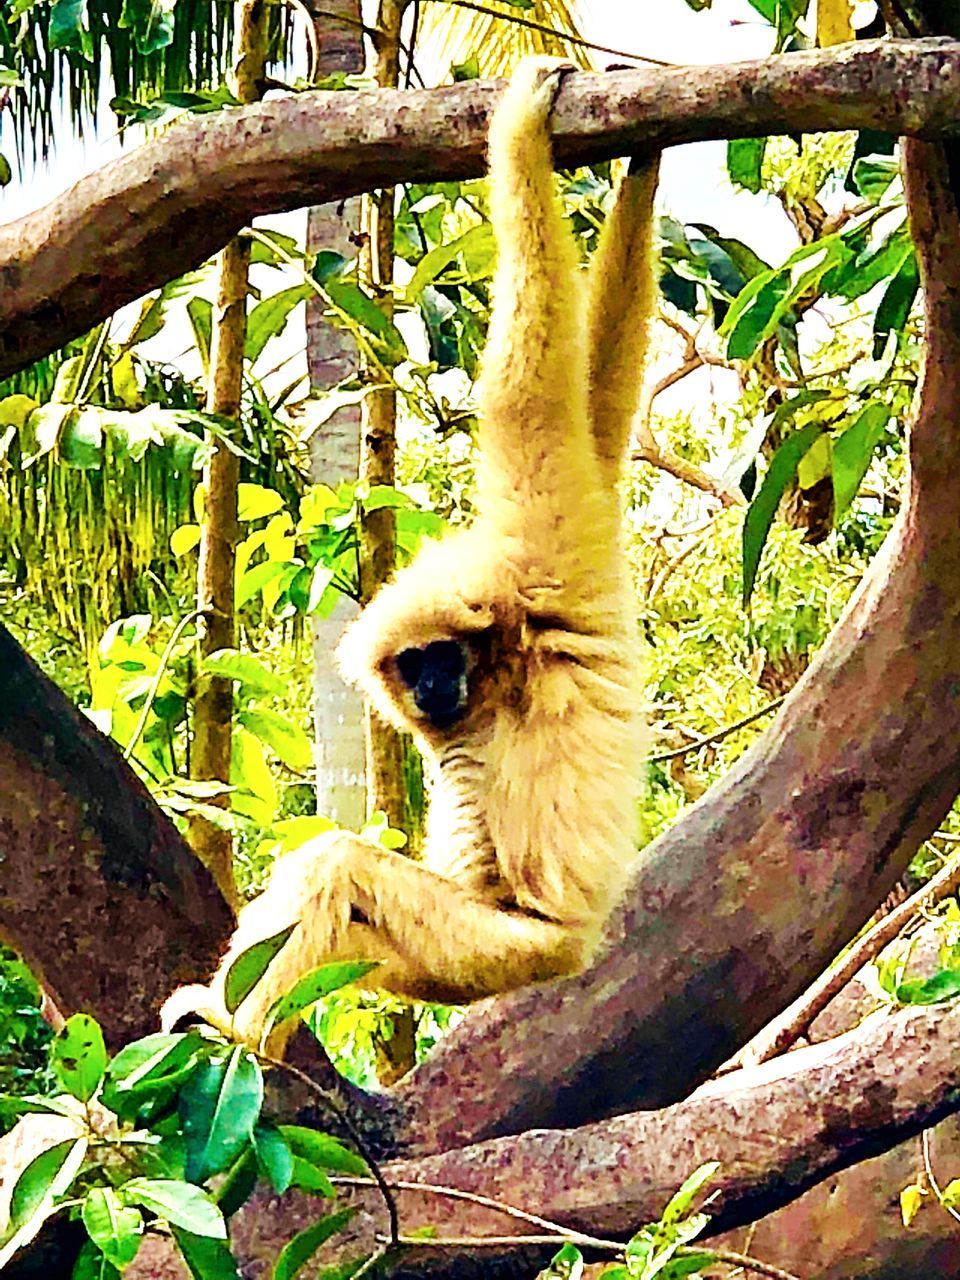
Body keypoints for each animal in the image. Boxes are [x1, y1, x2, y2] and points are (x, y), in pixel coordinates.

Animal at [163, 60, 660, 1054]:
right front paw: (639, 172)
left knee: (334, 868)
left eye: (441, 657)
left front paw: (519, 136)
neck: (502, 664)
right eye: (413, 664)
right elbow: (591, 420)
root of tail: (573, 949)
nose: (431, 688)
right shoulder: (562, 548)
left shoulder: (542, 555)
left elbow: (531, 408)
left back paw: (237, 1032)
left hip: (495, 948)